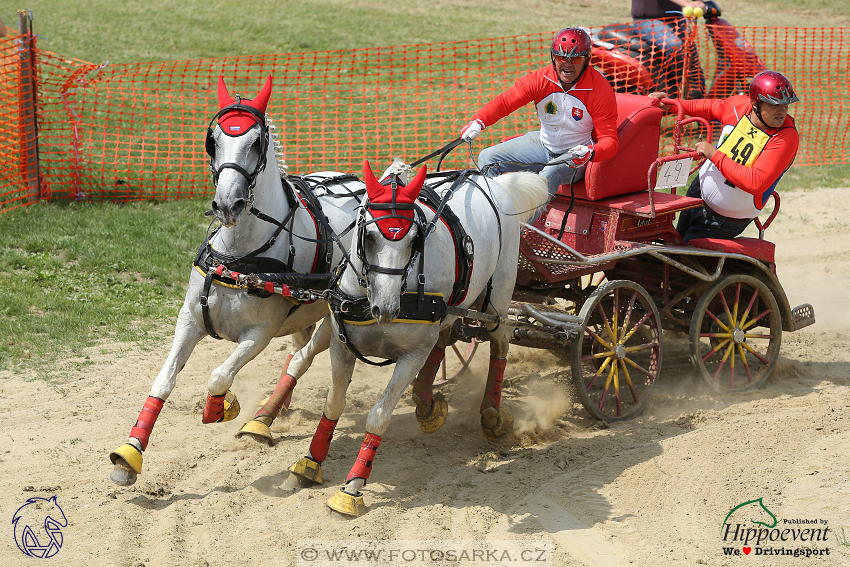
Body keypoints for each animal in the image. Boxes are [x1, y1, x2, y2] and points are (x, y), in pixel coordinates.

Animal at [108, 74, 362, 484]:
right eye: (213, 140)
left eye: (256, 142)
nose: (228, 205)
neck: (239, 258)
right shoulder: (190, 319)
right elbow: (164, 380)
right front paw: (130, 453)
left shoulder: (258, 335)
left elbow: (219, 375)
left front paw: (220, 407)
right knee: (297, 350)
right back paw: (272, 411)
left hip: (334, 315)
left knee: (302, 358)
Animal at [280, 159, 544, 516]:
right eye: (369, 235)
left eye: (414, 239)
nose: (387, 307)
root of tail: (495, 182)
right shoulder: (342, 346)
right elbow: (333, 404)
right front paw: (310, 463)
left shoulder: (412, 354)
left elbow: (379, 416)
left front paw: (352, 486)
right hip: (452, 310)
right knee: (444, 338)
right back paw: (427, 403)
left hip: (497, 303)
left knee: (499, 344)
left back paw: (490, 413)